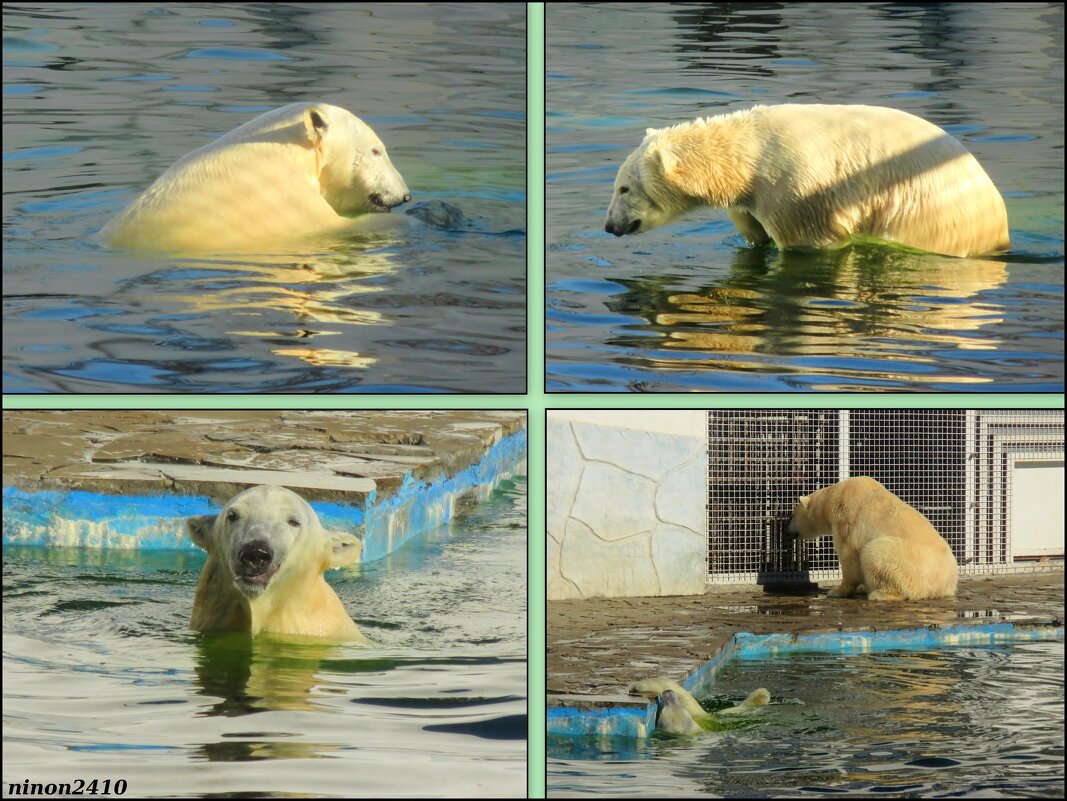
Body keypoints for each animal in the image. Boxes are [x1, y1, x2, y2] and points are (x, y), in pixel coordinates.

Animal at [610, 103, 1007, 258]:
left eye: (623, 188)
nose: (609, 225)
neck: (747, 157)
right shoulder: (751, 198)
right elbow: (753, 233)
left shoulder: (795, 188)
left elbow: (809, 243)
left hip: (930, 210)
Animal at [627, 678, 772, 738]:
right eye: (674, 702)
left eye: (662, 712)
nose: (668, 693)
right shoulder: (700, 720)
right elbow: (688, 701)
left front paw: (639, 686)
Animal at [789, 475, 956, 601]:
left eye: (791, 515)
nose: (787, 530)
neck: (835, 495)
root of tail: (945, 583)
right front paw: (862, 587)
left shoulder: (845, 519)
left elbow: (849, 557)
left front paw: (837, 591)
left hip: (909, 562)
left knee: (875, 553)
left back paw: (879, 593)